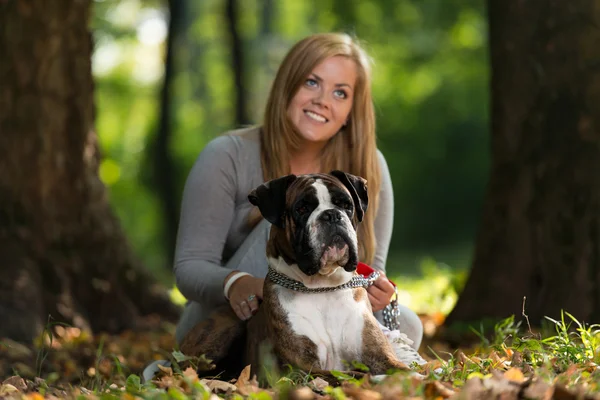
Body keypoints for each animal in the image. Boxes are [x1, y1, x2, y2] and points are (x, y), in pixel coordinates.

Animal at [178, 170, 410, 382]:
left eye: (346, 204)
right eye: (302, 209)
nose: (331, 215)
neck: (323, 287)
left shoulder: (381, 357)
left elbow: (410, 372)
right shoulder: (301, 369)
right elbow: (351, 376)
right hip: (226, 330)